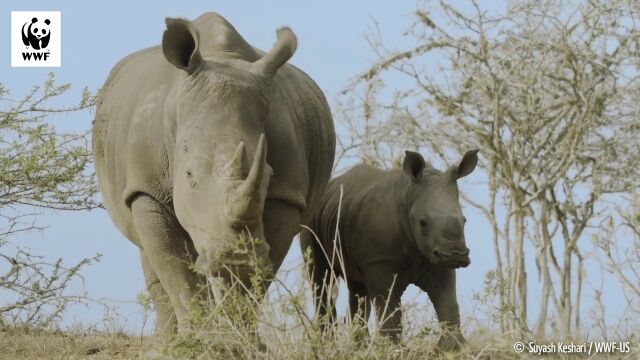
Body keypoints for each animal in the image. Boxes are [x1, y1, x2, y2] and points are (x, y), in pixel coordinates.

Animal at [94, 12, 338, 340]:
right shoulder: (147, 187)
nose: (234, 255)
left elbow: (256, 274)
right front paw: (192, 342)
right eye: (188, 175)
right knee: (147, 247)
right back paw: (164, 340)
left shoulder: (286, 193)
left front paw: (238, 342)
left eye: (268, 175)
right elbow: (175, 266)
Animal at [302, 149, 478, 352]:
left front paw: (451, 348)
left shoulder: (436, 259)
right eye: (422, 223)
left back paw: (360, 347)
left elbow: (447, 302)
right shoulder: (380, 260)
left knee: (357, 287)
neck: (409, 197)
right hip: (311, 219)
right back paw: (327, 346)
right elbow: (388, 306)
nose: (456, 255)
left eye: (464, 220)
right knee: (320, 276)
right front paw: (394, 349)